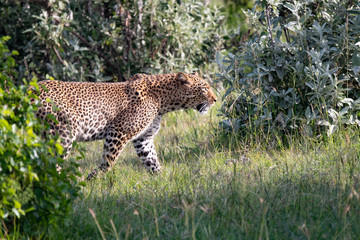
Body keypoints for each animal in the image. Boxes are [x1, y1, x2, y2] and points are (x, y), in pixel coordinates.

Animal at [34, 72, 217, 179]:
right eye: (204, 89)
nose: (215, 99)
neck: (164, 101)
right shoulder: (119, 131)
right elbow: (109, 161)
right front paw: (93, 179)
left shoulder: (143, 138)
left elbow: (151, 160)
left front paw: (162, 179)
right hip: (62, 135)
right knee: (52, 164)